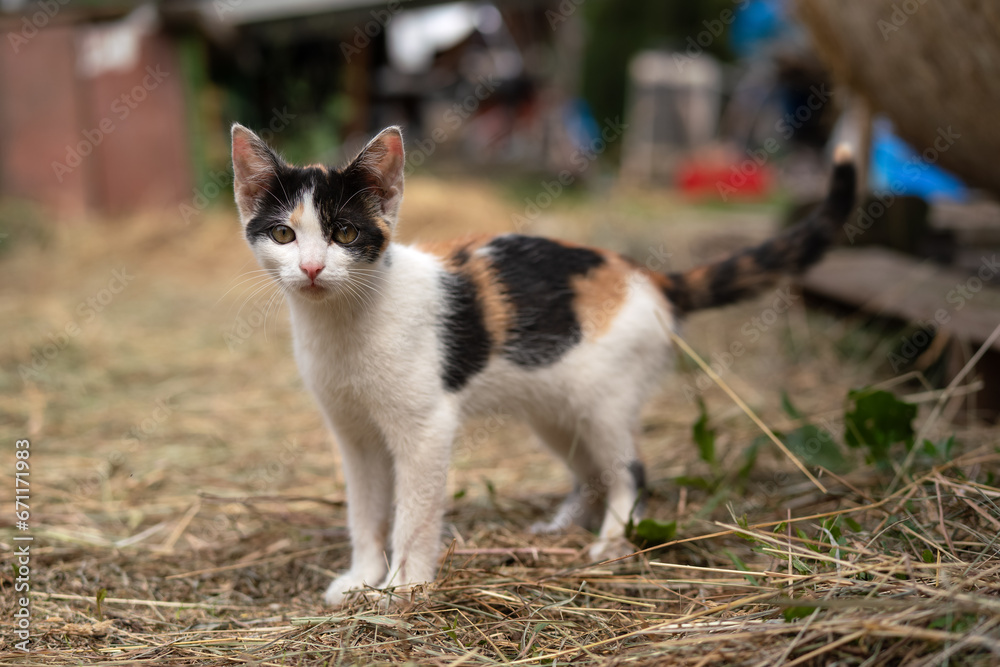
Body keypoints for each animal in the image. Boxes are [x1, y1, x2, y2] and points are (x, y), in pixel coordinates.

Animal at [230, 122, 856, 608]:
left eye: (345, 232)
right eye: (284, 234)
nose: (312, 269)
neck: (342, 324)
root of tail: (645, 275)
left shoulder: (426, 429)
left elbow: (414, 515)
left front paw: (403, 589)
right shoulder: (353, 435)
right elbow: (364, 513)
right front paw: (361, 580)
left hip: (604, 403)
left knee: (630, 472)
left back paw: (610, 544)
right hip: (554, 409)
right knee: (591, 471)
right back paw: (560, 526)